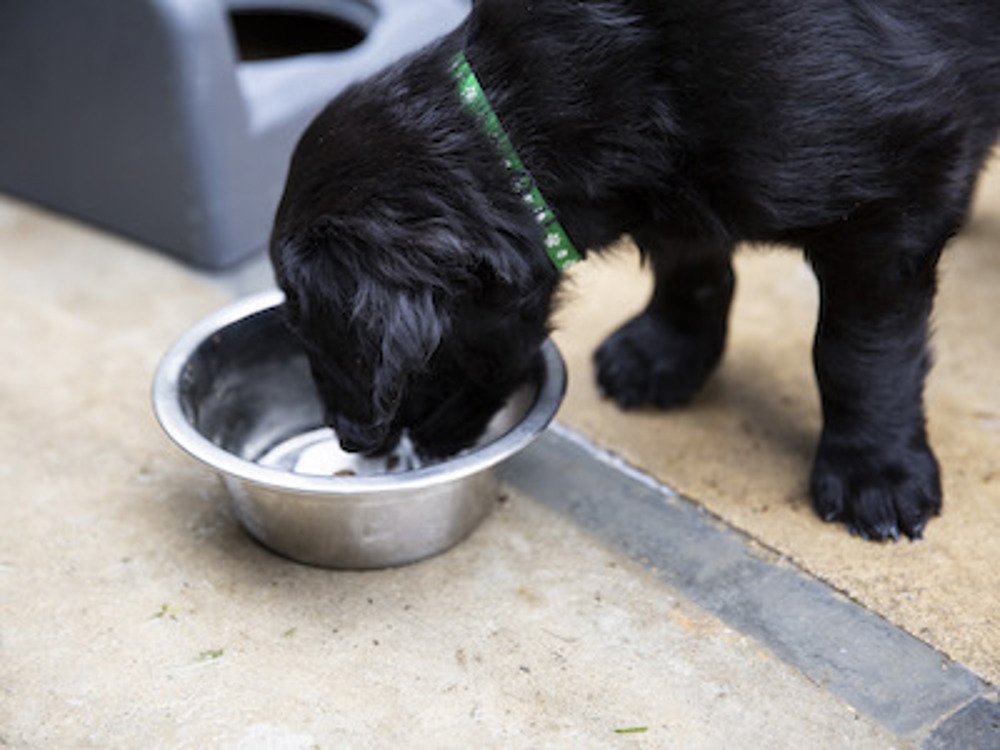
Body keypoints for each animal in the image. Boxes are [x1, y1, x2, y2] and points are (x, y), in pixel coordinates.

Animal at [272, 0, 1000, 540]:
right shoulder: (673, 182)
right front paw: (665, 355)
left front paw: (873, 473)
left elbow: (858, 350)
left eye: (319, 334)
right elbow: (691, 266)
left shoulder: (895, 194)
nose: (351, 442)